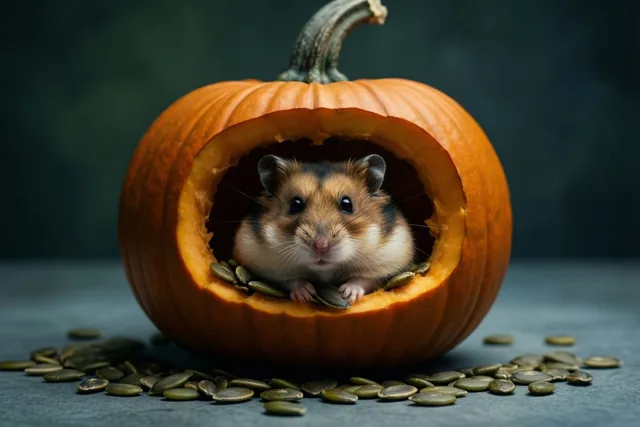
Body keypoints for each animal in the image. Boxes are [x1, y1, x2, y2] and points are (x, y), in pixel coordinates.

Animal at [232, 154, 414, 305]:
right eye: (295, 204)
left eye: (347, 204)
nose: (321, 246)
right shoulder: (265, 265)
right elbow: (289, 281)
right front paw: (306, 293)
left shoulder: (387, 261)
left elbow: (364, 279)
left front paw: (347, 293)